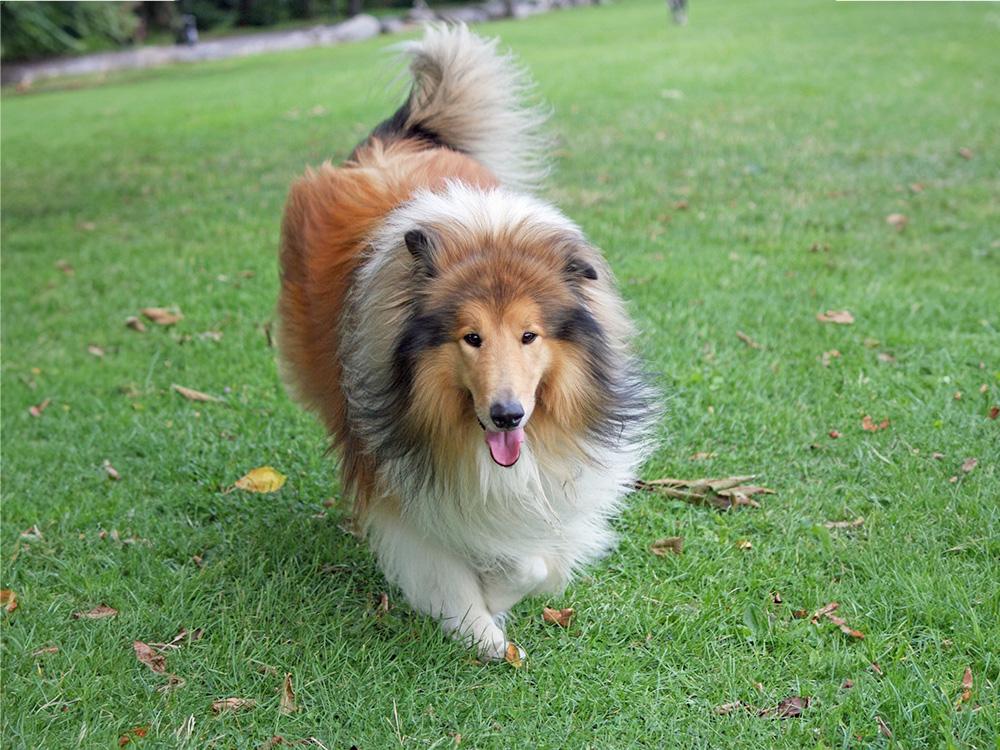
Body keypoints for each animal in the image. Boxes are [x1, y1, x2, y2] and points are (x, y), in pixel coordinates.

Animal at [282, 23, 656, 660]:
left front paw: (498, 593)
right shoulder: (398, 484)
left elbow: (537, 562)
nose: (507, 416)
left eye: (529, 335)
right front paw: (479, 627)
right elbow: (446, 566)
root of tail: (399, 139)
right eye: (471, 337)